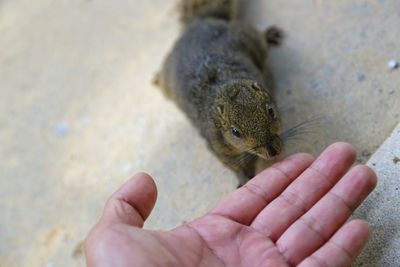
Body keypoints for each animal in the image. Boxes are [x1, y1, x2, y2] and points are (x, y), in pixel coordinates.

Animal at [155, 0, 282, 186]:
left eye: (271, 111)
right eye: (235, 132)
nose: (272, 152)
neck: (224, 84)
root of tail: (197, 23)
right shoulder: (216, 143)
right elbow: (231, 163)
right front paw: (243, 178)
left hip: (247, 36)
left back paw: (268, 35)